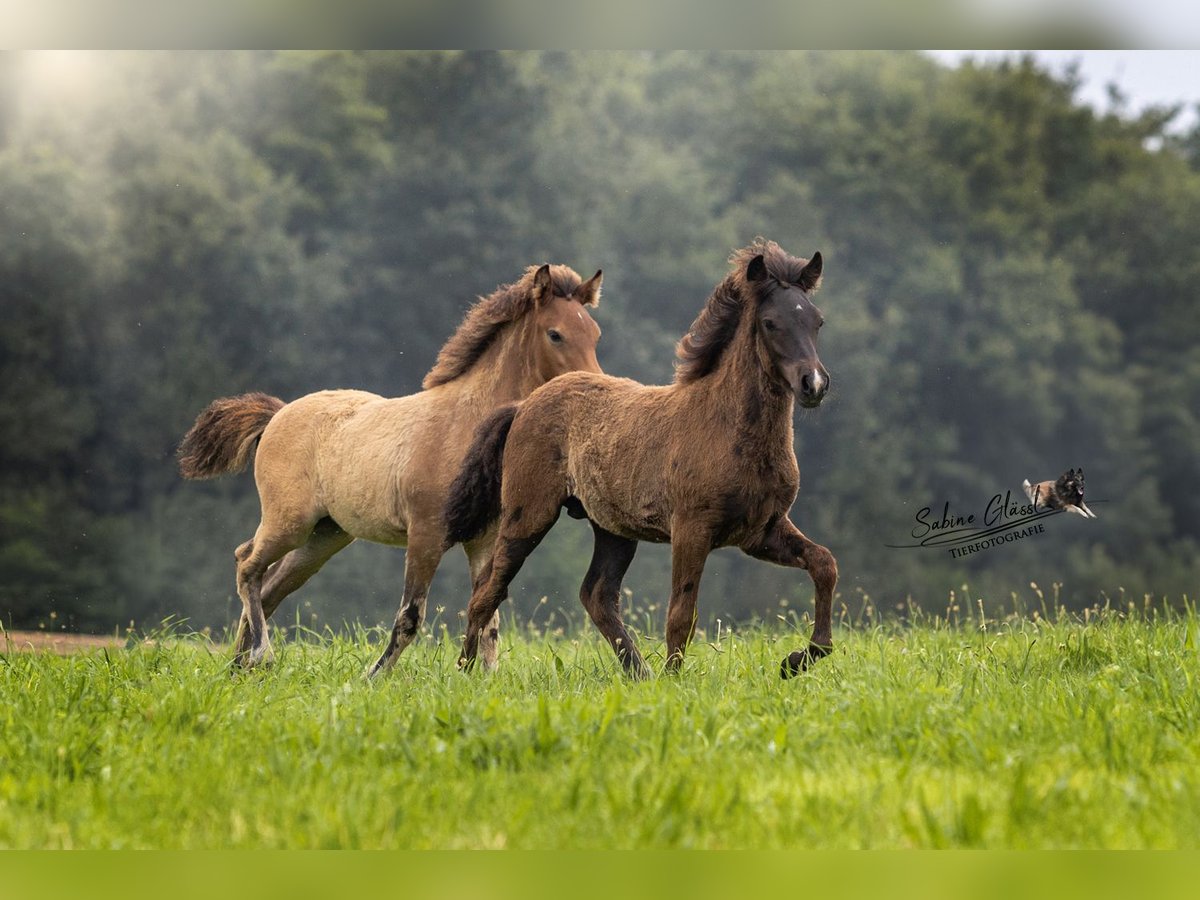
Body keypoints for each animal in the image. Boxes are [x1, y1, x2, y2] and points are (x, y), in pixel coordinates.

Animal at [175, 264, 609, 672]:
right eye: (555, 334)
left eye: (596, 334)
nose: (595, 387)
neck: (464, 424)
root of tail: (278, 414)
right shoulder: (426, 535)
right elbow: (410, 617)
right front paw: (374, 676)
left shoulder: (483, 540)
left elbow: (489, 614)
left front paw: (484, 678)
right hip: (289, 522)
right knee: (246, 563)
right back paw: (259, 655)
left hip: (325, 537)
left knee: (270, 588)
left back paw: (239, 665)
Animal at [448, 243, 835, 681]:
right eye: (771, 323)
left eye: (817, 321)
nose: (814, 384)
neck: (727, 428)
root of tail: (523, 405)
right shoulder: (692, 529)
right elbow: (681, 614)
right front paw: (674, 681)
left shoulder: (761, 531)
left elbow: (825, 564)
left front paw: (797, 660)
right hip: (527, 516)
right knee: (487, 591)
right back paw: (464, 671)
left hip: (612, 528)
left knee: (596, 593)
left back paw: (639, 673)